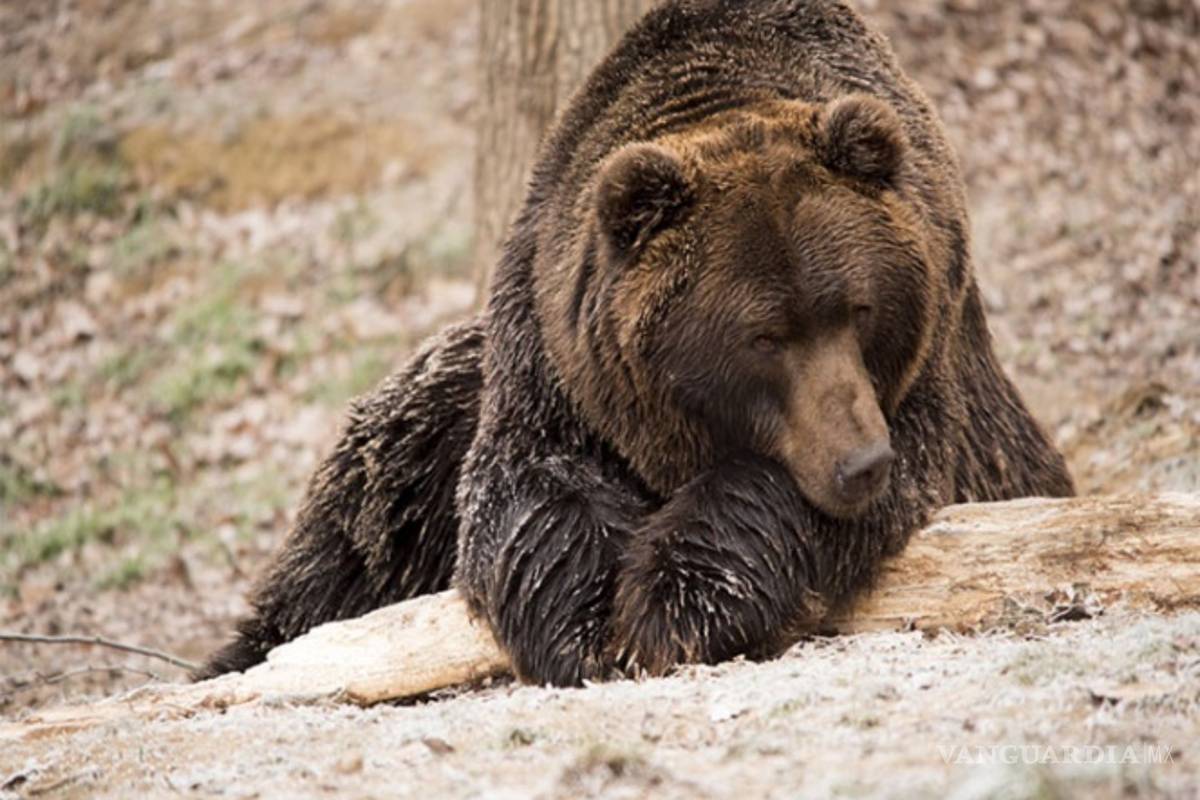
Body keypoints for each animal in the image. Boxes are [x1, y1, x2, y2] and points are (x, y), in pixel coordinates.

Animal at [200, 0, 1074, 686]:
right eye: (765, 334)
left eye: (859, 308)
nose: (860, 462)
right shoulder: (553, 354)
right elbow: (528, 488)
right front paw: (588, 625)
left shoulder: (924, 380)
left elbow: (795, 490)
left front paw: (672, 603)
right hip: (434, 415)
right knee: (364, 516)